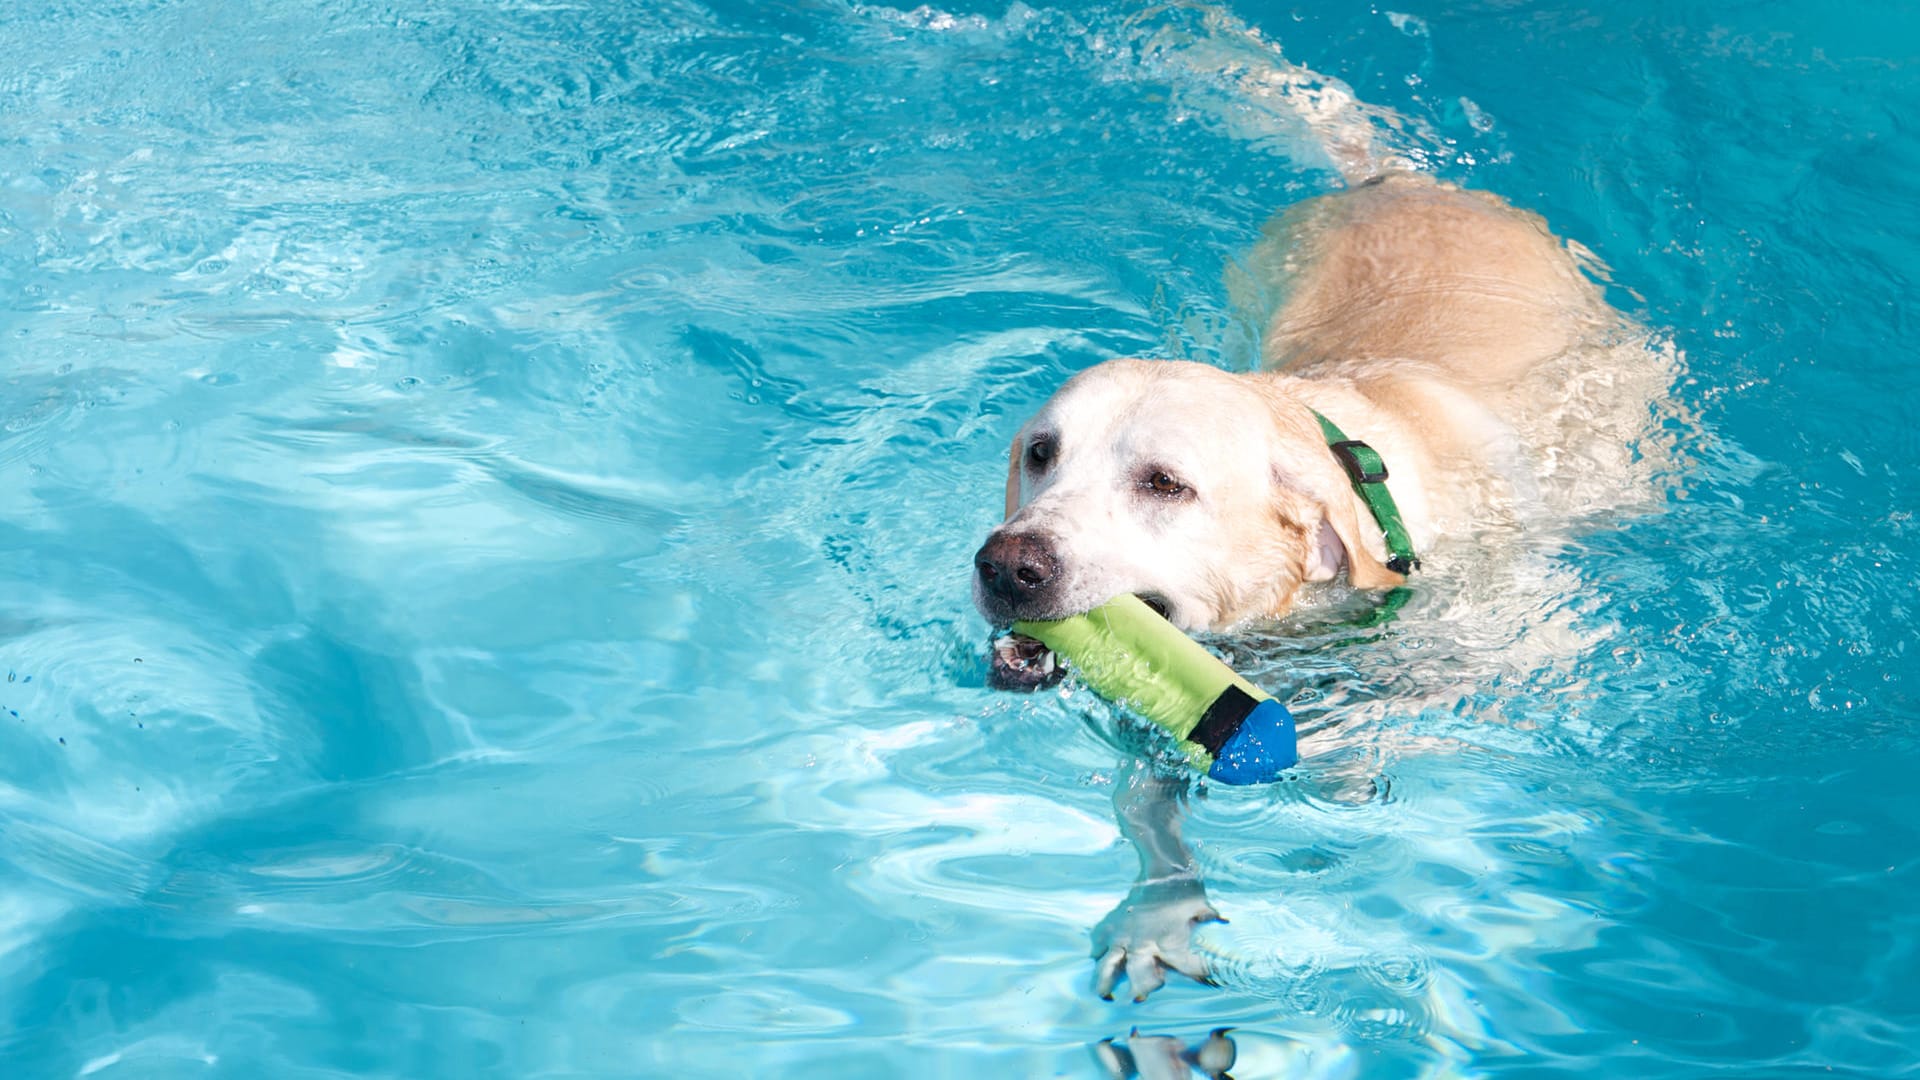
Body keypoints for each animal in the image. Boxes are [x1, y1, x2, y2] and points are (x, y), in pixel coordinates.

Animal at [975, 170, 1666, 999]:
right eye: (1042, 452)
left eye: (1165, 484)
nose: (1006, 565)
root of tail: (1399, 177)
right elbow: (1145, 796)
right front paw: (1157, 915)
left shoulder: (1513, 644)